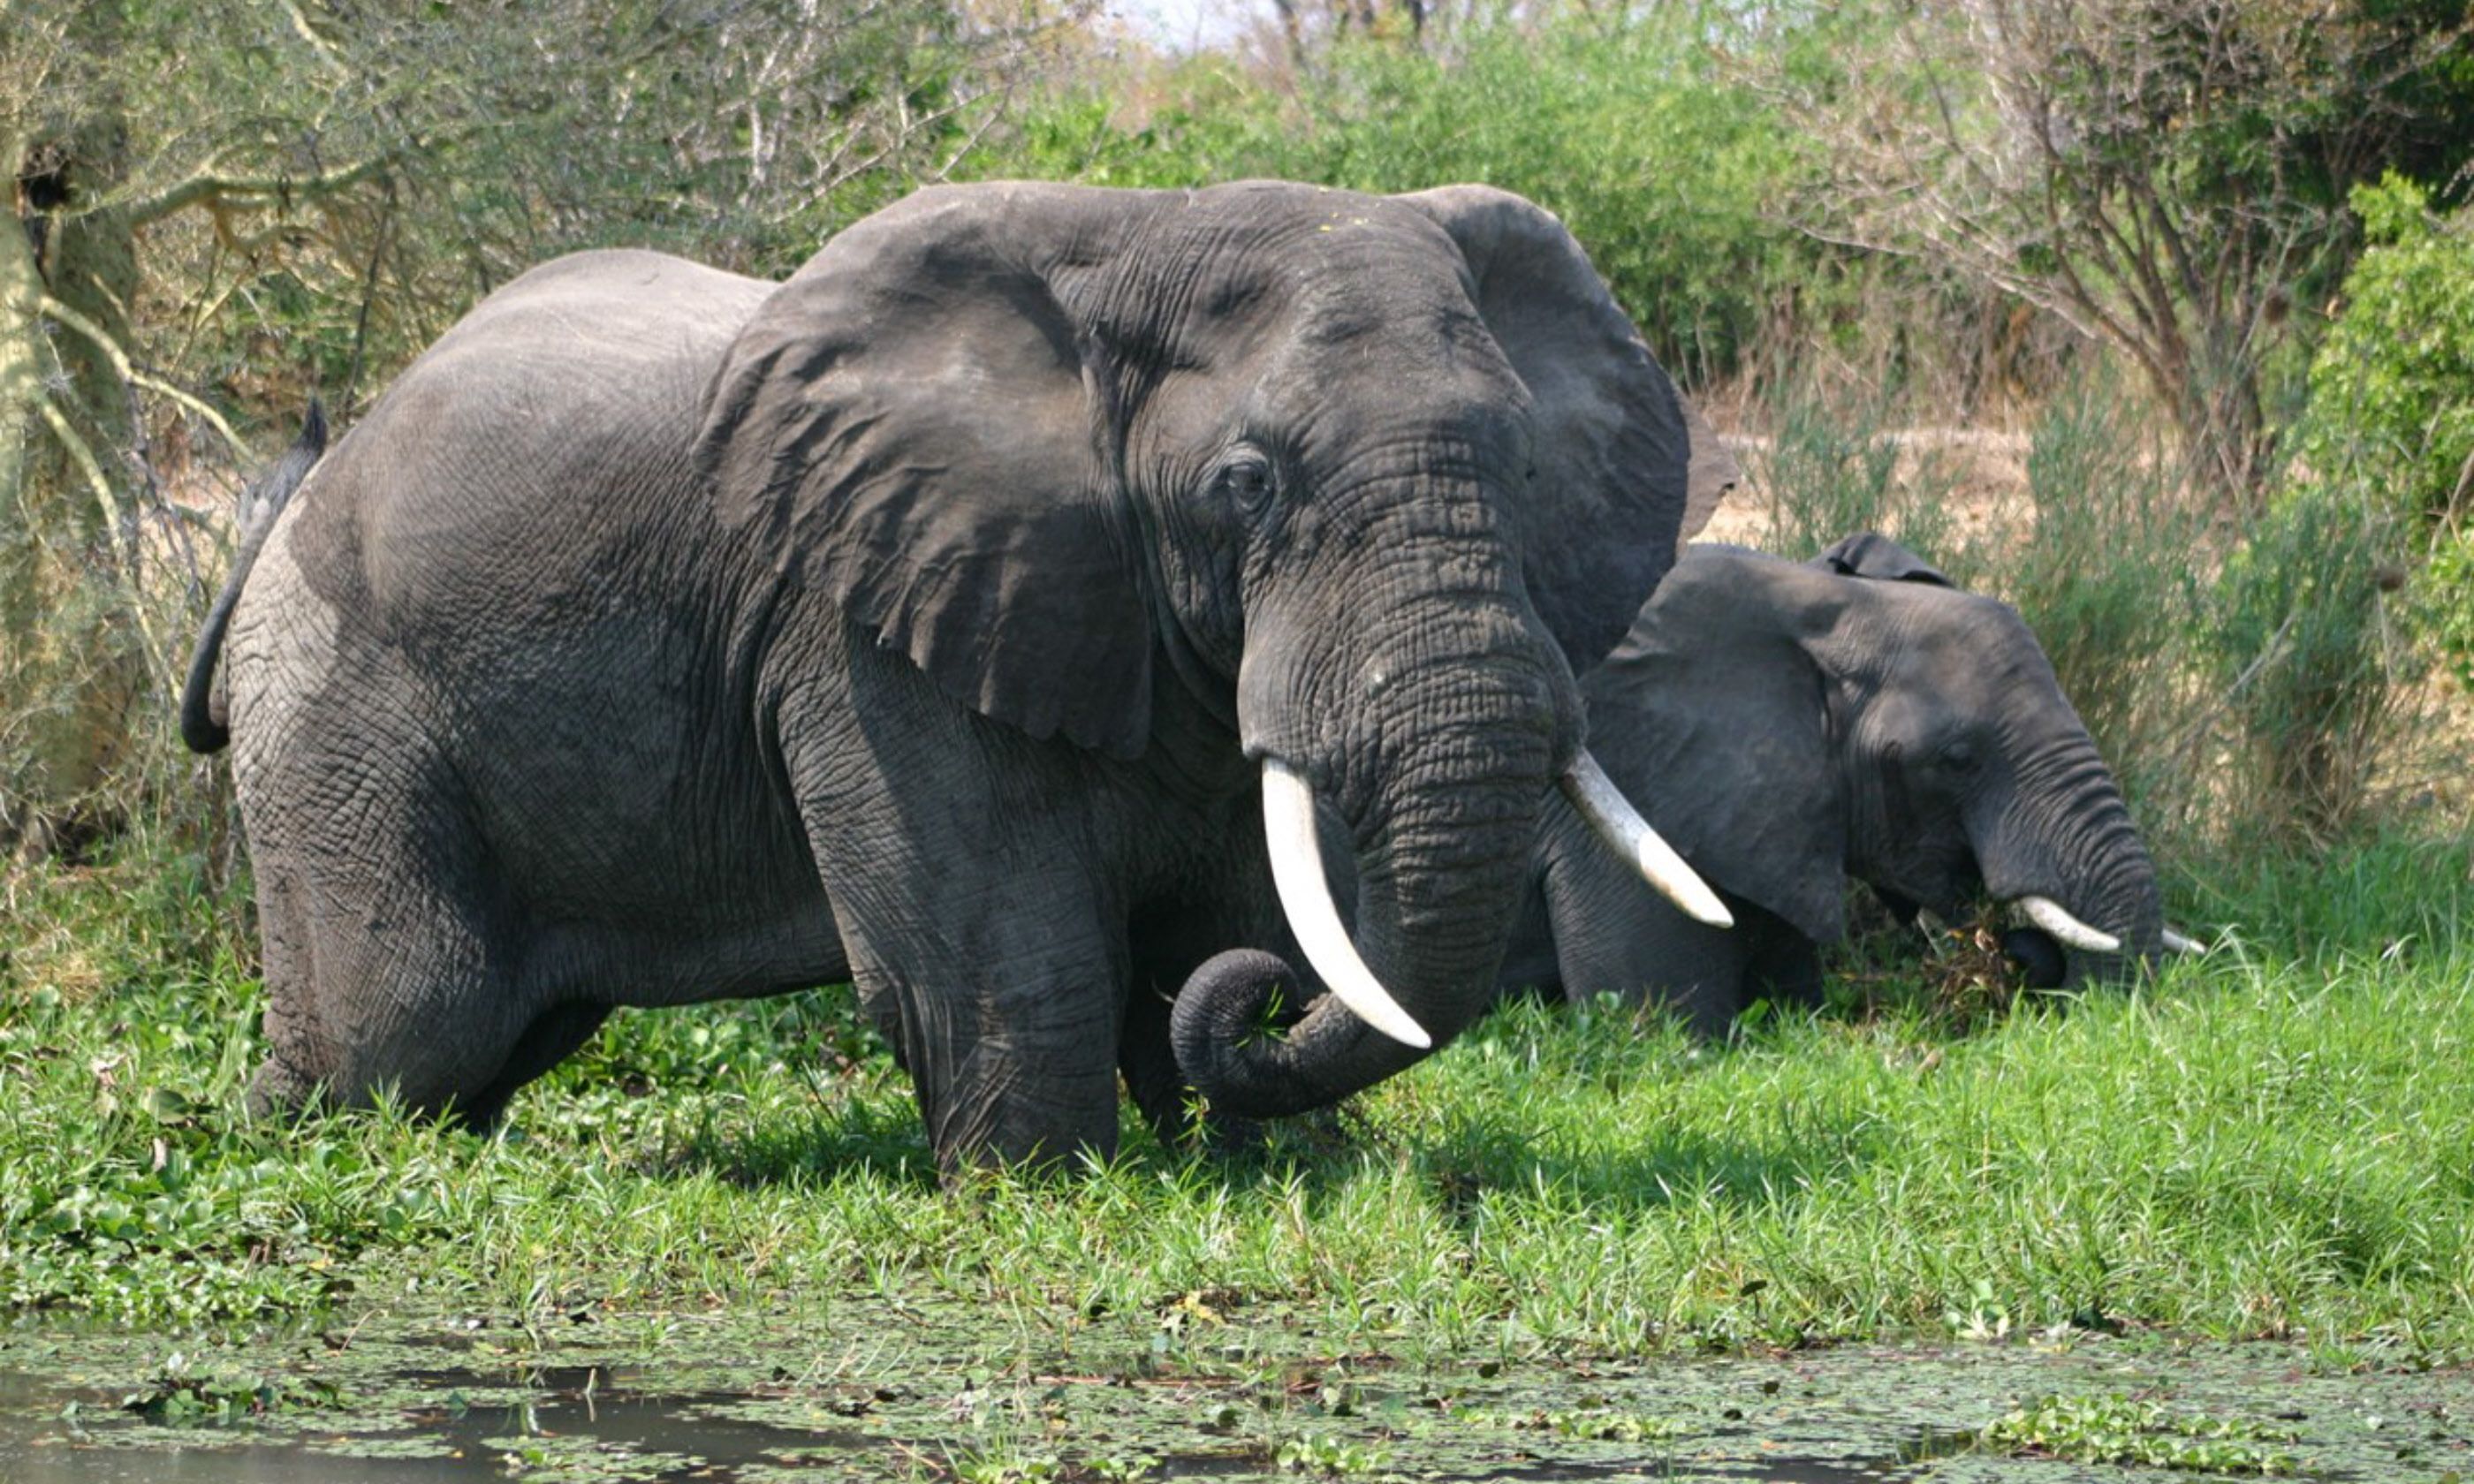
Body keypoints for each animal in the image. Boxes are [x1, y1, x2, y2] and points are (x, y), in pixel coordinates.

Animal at [180, 180, 1741, 1171]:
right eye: (1246, 484)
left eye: (1526, 469)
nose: (1246, 1012)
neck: (1140, 239)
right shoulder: (863, 622)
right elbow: (1000, 955)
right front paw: (1045, 1192)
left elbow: (1244, 904)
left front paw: (1277, 1168)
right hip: (340, 697)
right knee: (408, 1026)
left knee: (492, 1038)